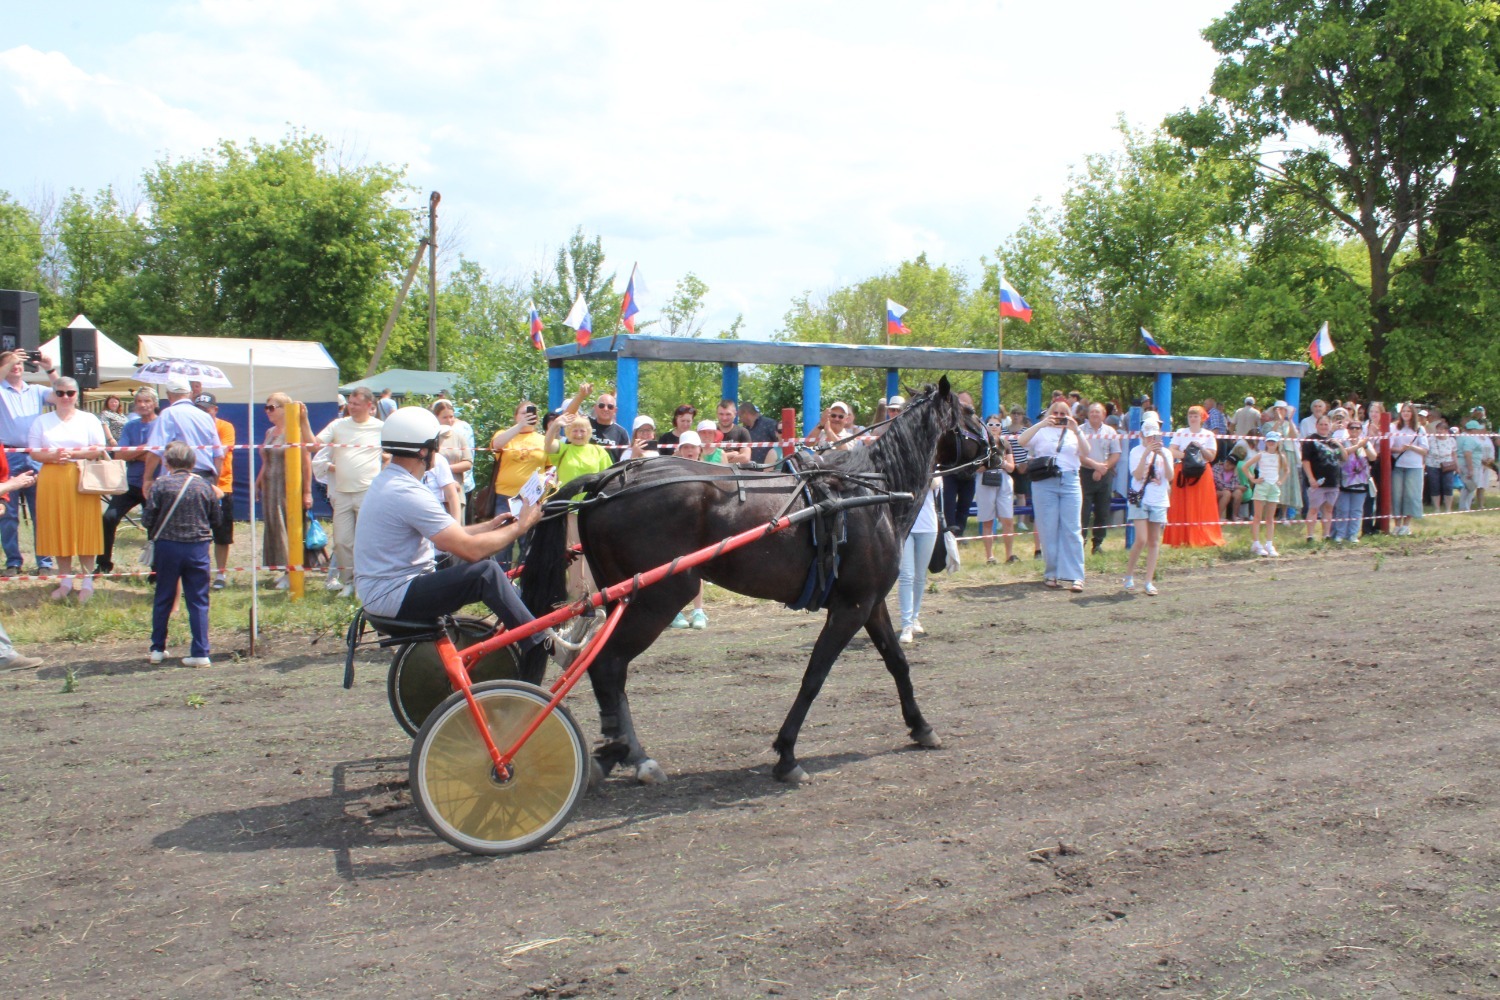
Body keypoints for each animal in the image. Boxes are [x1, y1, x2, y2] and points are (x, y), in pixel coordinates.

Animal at [518, 377, 981, 785]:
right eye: (972, 412)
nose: (993, 449)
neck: (868, 496)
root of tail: (609, 479)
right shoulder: (851, 608)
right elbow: (814, 676)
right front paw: (787, 753)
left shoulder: (869, 603)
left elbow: (897, 662)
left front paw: (920, 726)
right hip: (659, 598)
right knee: (608, 666)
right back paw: (630, 754)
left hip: (626, 599)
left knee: (604, 670)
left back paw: (621, 751)